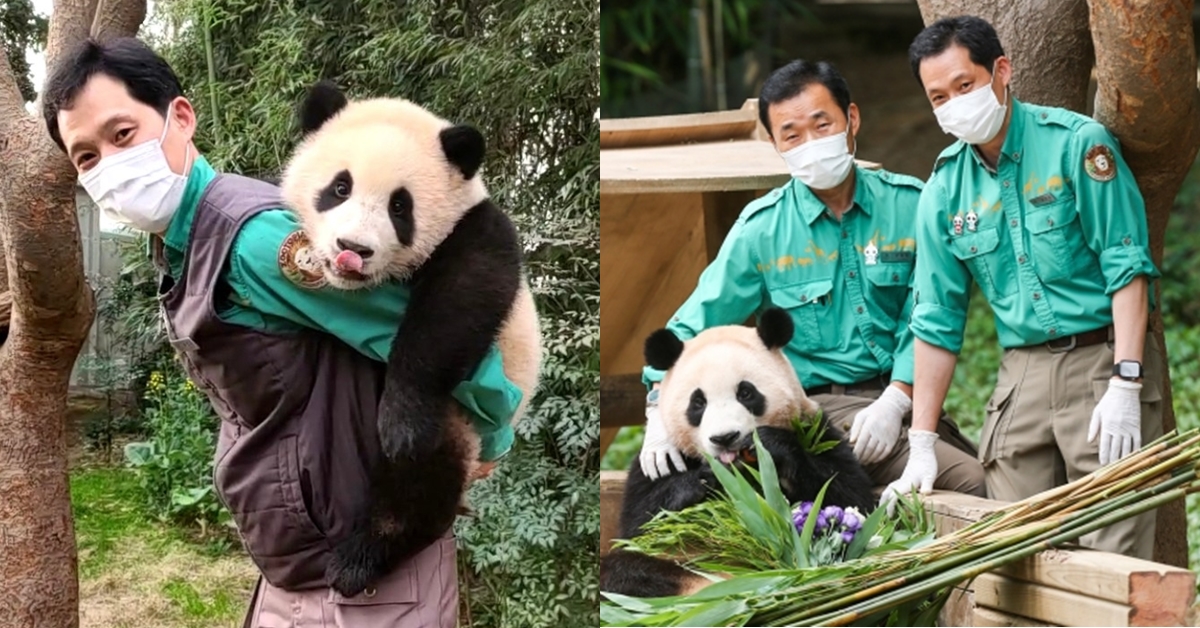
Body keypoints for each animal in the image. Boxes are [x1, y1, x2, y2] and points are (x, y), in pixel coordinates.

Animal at [278, 81, 542, 597]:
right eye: (340, 187)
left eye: (400, 207)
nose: (353, 250)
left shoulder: (476, 230)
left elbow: (457, 304)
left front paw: (401, 425)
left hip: (459, 421)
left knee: (420, 482)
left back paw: (360, 559)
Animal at [597, 309, 873, 600]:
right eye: (698, 402)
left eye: (746, 392)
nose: (725, 437)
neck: (740, 468)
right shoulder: (661, 460)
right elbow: (639, 526)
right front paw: (703, 479)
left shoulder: (815, 431)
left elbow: (847, 497)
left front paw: (771, 445)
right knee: (624, 568)